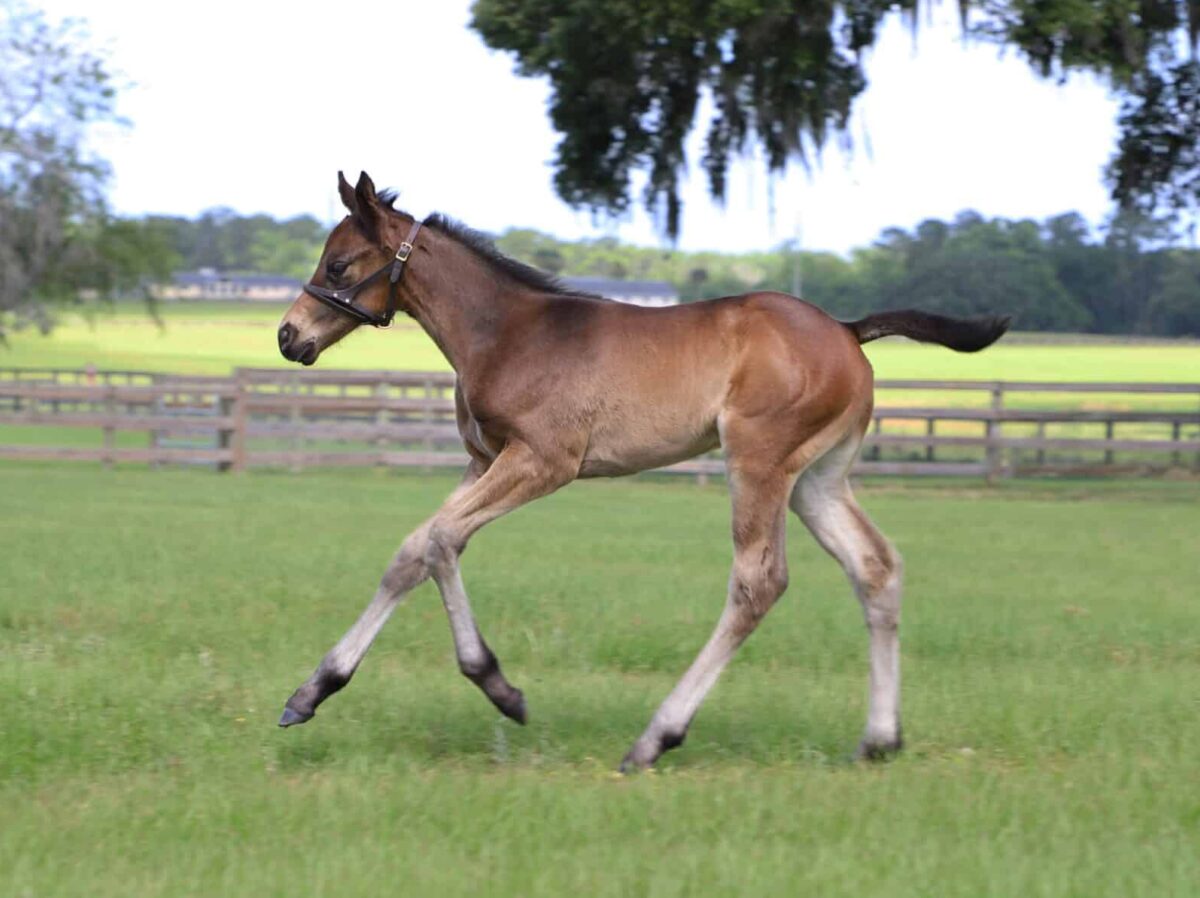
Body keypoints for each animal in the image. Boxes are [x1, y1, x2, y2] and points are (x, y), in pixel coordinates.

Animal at [276, 171, 1008, 768]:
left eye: (338, 265)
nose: (288, 336)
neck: (506, 332)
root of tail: (848, 332)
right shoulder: (483, 460)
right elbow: (412, 551)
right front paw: (312, 691)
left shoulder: (543, 460)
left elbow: (441, 540)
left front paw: (499, 687)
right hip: (817, 479)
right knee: (875, 567)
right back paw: (879, 740)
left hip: (759, 461)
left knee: (759, 583)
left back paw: (656, 738)